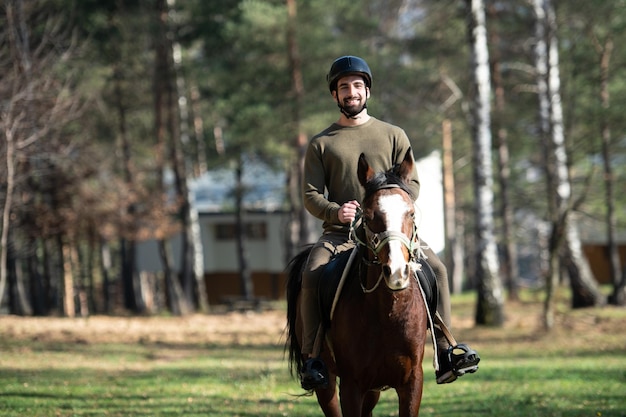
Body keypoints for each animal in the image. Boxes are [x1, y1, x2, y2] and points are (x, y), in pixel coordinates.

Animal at [286, 150, 426, 416]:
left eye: (412, 213)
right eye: (369, 216)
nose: (396, 271)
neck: (387, 313)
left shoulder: (412, 383)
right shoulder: (351, 386)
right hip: (328, 383)